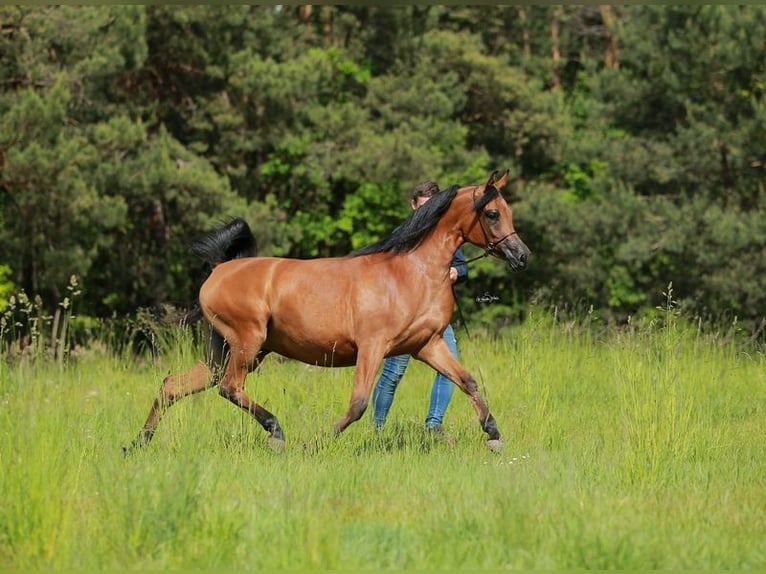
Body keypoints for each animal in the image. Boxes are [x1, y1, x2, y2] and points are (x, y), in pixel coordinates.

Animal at [124, 170, 530, 454]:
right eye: (492, 213)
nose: (522, 256)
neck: (410, 272)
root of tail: (219, 270)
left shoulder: (426, 345)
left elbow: (467, 381)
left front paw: (494, 435)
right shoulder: (373, 347)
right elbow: (359, 404)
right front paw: (314, 443)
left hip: (225, 351)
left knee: (172, 386)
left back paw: (137, 444)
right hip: (246, 343)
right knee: (229, 387)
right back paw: (277, 433)